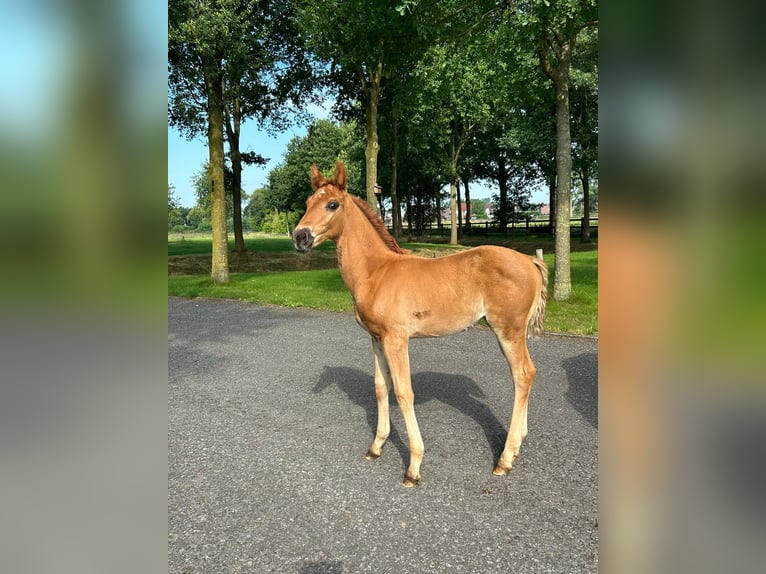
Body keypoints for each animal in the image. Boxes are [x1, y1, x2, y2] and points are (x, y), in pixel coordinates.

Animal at [292, 161, 548, 486]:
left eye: (332, 204)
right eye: (307, 203)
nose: (299, 237)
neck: (376, 272)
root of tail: (530, 262)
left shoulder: (396, 339)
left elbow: (404, 392)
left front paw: (413, 467)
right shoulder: (376, 338)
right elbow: (380, 387)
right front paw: (376, 446)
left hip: (508, 330)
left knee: (523, 374)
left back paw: (505, 458)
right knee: (527, 374)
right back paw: (517, 445)